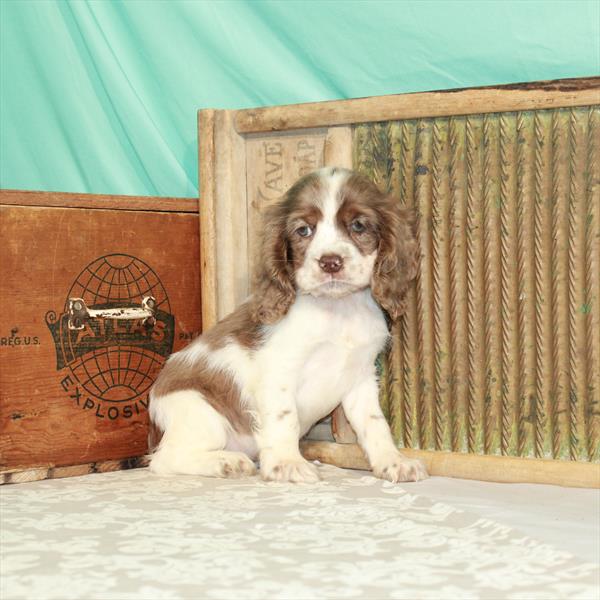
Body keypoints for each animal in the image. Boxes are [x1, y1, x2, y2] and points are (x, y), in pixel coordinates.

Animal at [149, 168, 426, 482]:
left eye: (358, 225)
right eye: (303, 230)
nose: (331, 262)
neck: (337, 309)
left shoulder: (361, 377)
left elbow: (375, 422)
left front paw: (394, 461)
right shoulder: (278, 371)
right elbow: (285, 418)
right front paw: (287, 463)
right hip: (201, 412)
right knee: (163, 460)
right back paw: (226, 462)